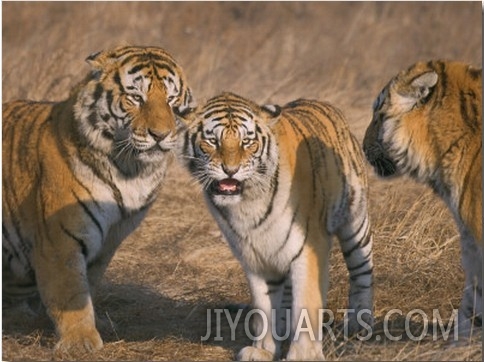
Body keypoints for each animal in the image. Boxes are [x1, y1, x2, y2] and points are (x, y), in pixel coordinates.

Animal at [2, 43, 195, 354]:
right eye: (136, 98)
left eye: (171, 99)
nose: (160, 134)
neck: (131, 170)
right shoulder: (60, 239)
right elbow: (71, 291)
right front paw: (79, 341)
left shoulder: (109, 239)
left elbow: (88, 284)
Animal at [182, 92, 374, 360]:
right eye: (212, 141)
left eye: (247, 142)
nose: (230, 170)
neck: (247, 203)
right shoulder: (254, 257)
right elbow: (265, 308)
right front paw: (263, 350)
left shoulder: (309, 248)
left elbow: (306, 303)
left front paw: (303, 355)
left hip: (355, 224)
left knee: (361, 271)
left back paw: (359, 323)